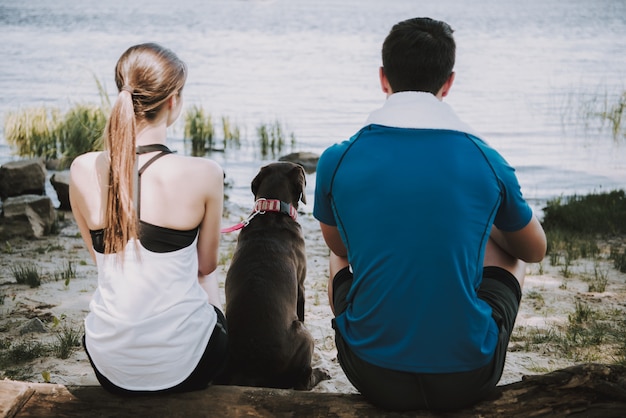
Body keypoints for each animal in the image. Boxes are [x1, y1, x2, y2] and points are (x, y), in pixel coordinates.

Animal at [218, 162, 330, 390]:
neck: (272, 210)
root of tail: (251, 373)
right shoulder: (301, 286)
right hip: (304, 335)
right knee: (303, 382)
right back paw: (320, 373)